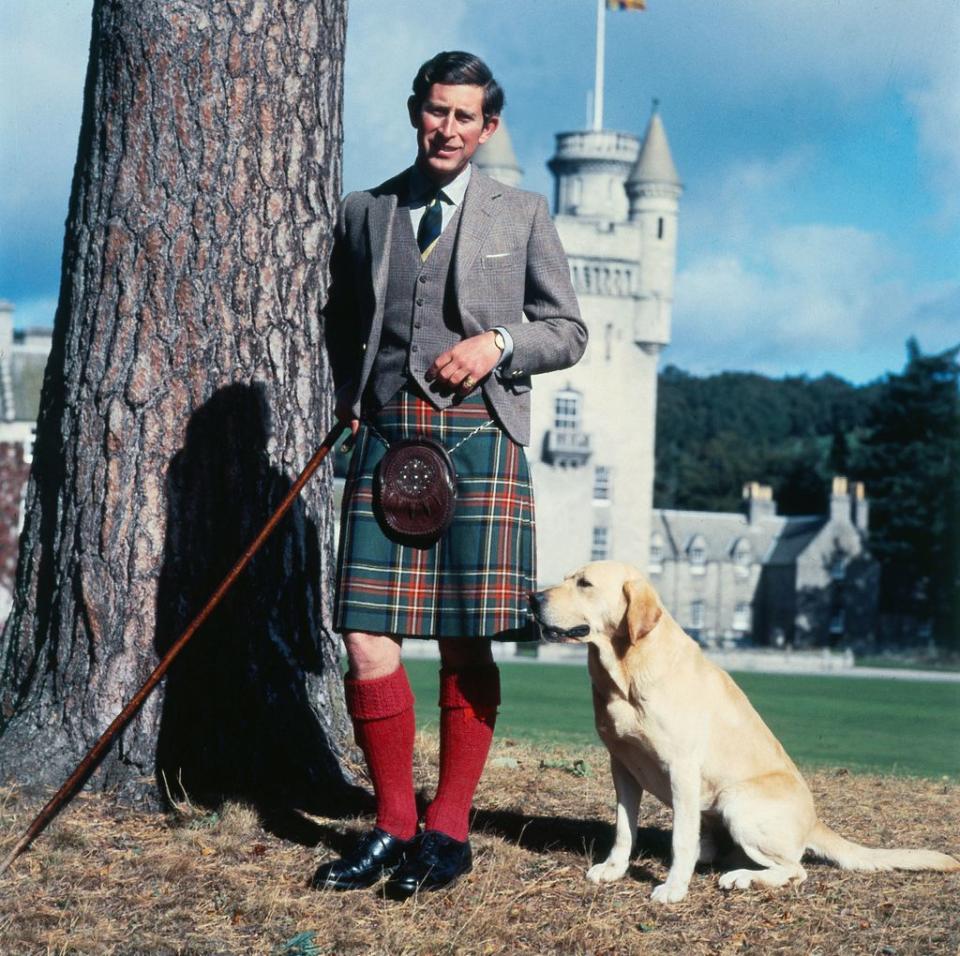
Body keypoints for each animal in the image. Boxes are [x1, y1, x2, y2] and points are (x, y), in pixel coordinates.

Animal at [528, 560, 956, 904]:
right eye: (566, 579)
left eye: (585, 583)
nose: (532, 598)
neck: (627, 671)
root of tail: (814, 821)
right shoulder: (622, 766)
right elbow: (623, 829)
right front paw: (614, 869)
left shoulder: (682, 768)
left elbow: (680, 838)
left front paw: (674, 888)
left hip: (737, 802)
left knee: (794, 868)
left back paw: (742, 878)